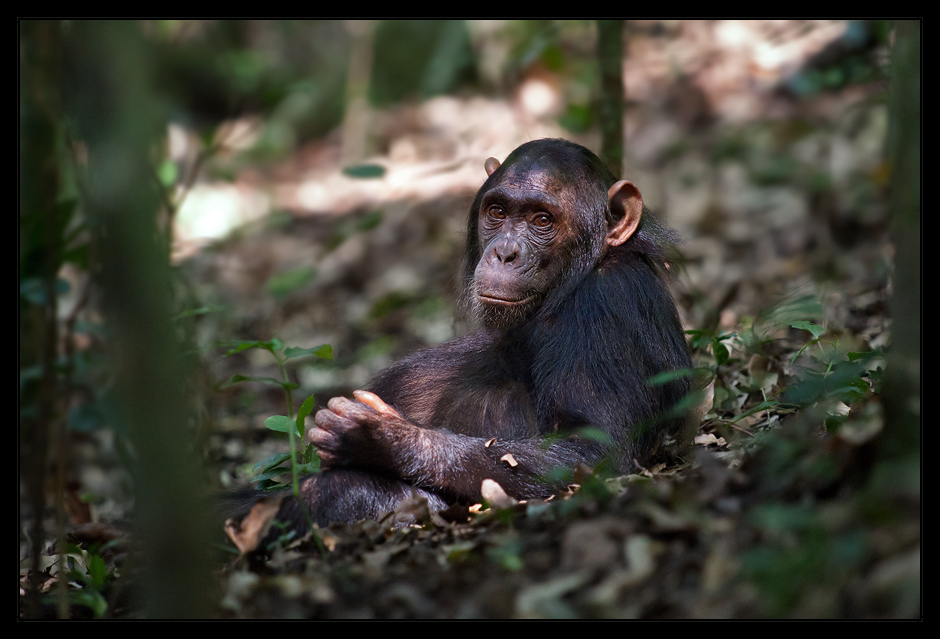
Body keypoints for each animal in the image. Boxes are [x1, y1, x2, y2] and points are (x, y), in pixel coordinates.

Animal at [276, 139, 688, 528]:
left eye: (542, 220)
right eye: (498, 212)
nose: (504, 253)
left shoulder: (610, 303)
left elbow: (593, 449)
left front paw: (384, 438)